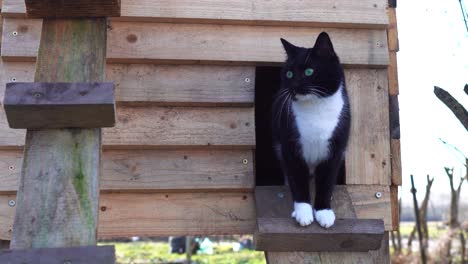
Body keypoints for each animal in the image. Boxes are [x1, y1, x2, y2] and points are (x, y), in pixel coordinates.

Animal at [272, 32, 350, 228]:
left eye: (309, 72)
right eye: (289, 73)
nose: (294, 86)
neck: (315, 108)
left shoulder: (336, 148)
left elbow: (327, 181)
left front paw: (324, 212)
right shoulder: (290, 147)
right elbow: (297, 179)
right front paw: (304, 213)